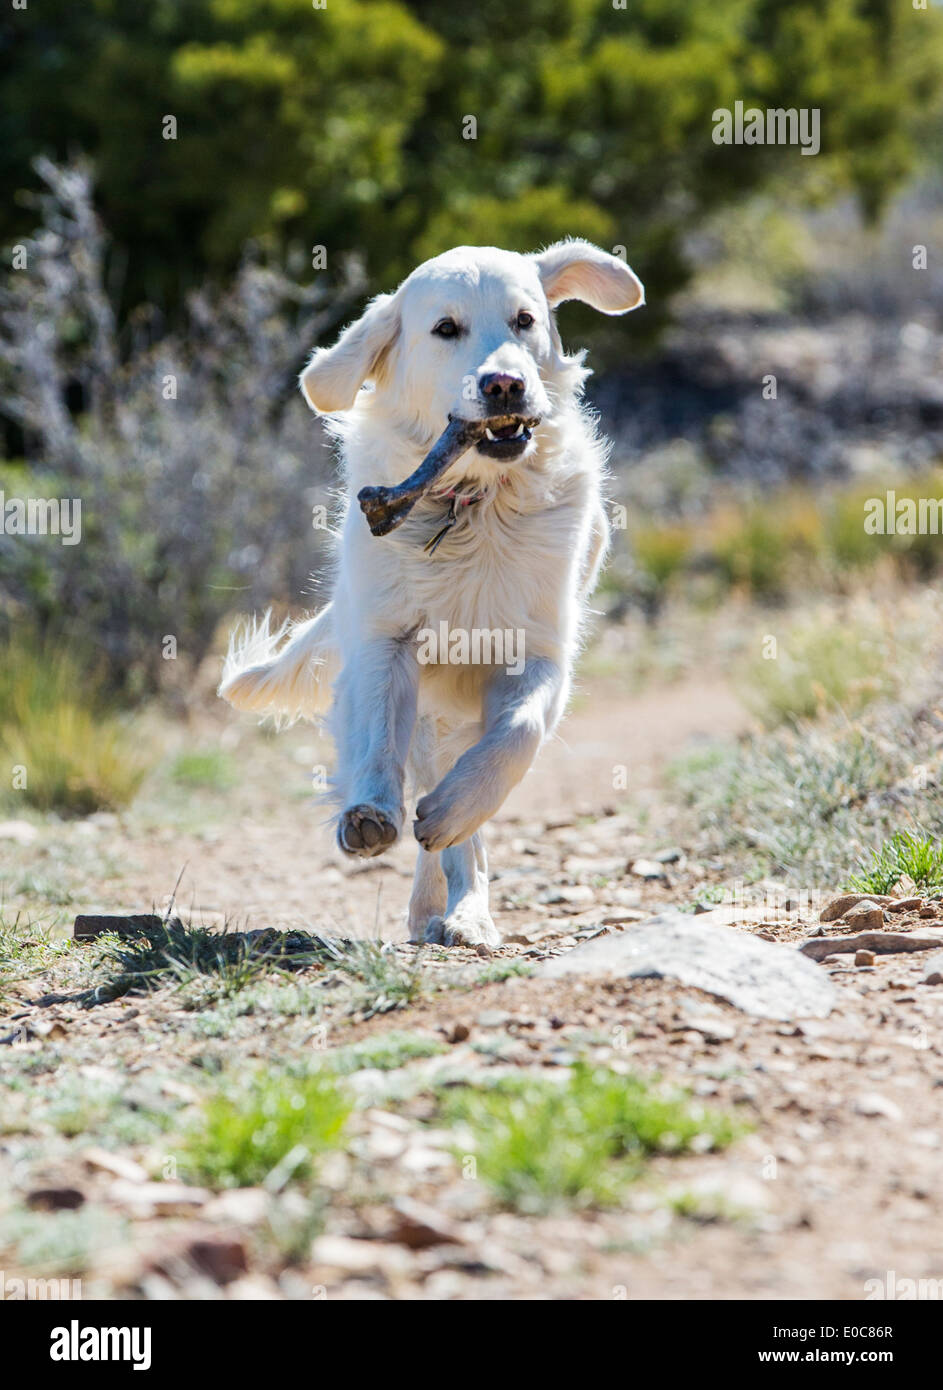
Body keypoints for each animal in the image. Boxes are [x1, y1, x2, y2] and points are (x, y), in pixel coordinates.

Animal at [221, 244, 645, 950]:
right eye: (446, 328)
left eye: (525, 320)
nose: (504, 385)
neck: (471, 502)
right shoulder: (384, 643)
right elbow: (376, 739)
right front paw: (368, 811)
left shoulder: (538, 650)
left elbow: (517, 736)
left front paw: (453, 809)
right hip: (425, 711)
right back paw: (429, 902)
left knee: (462, 817)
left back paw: (464, 908)